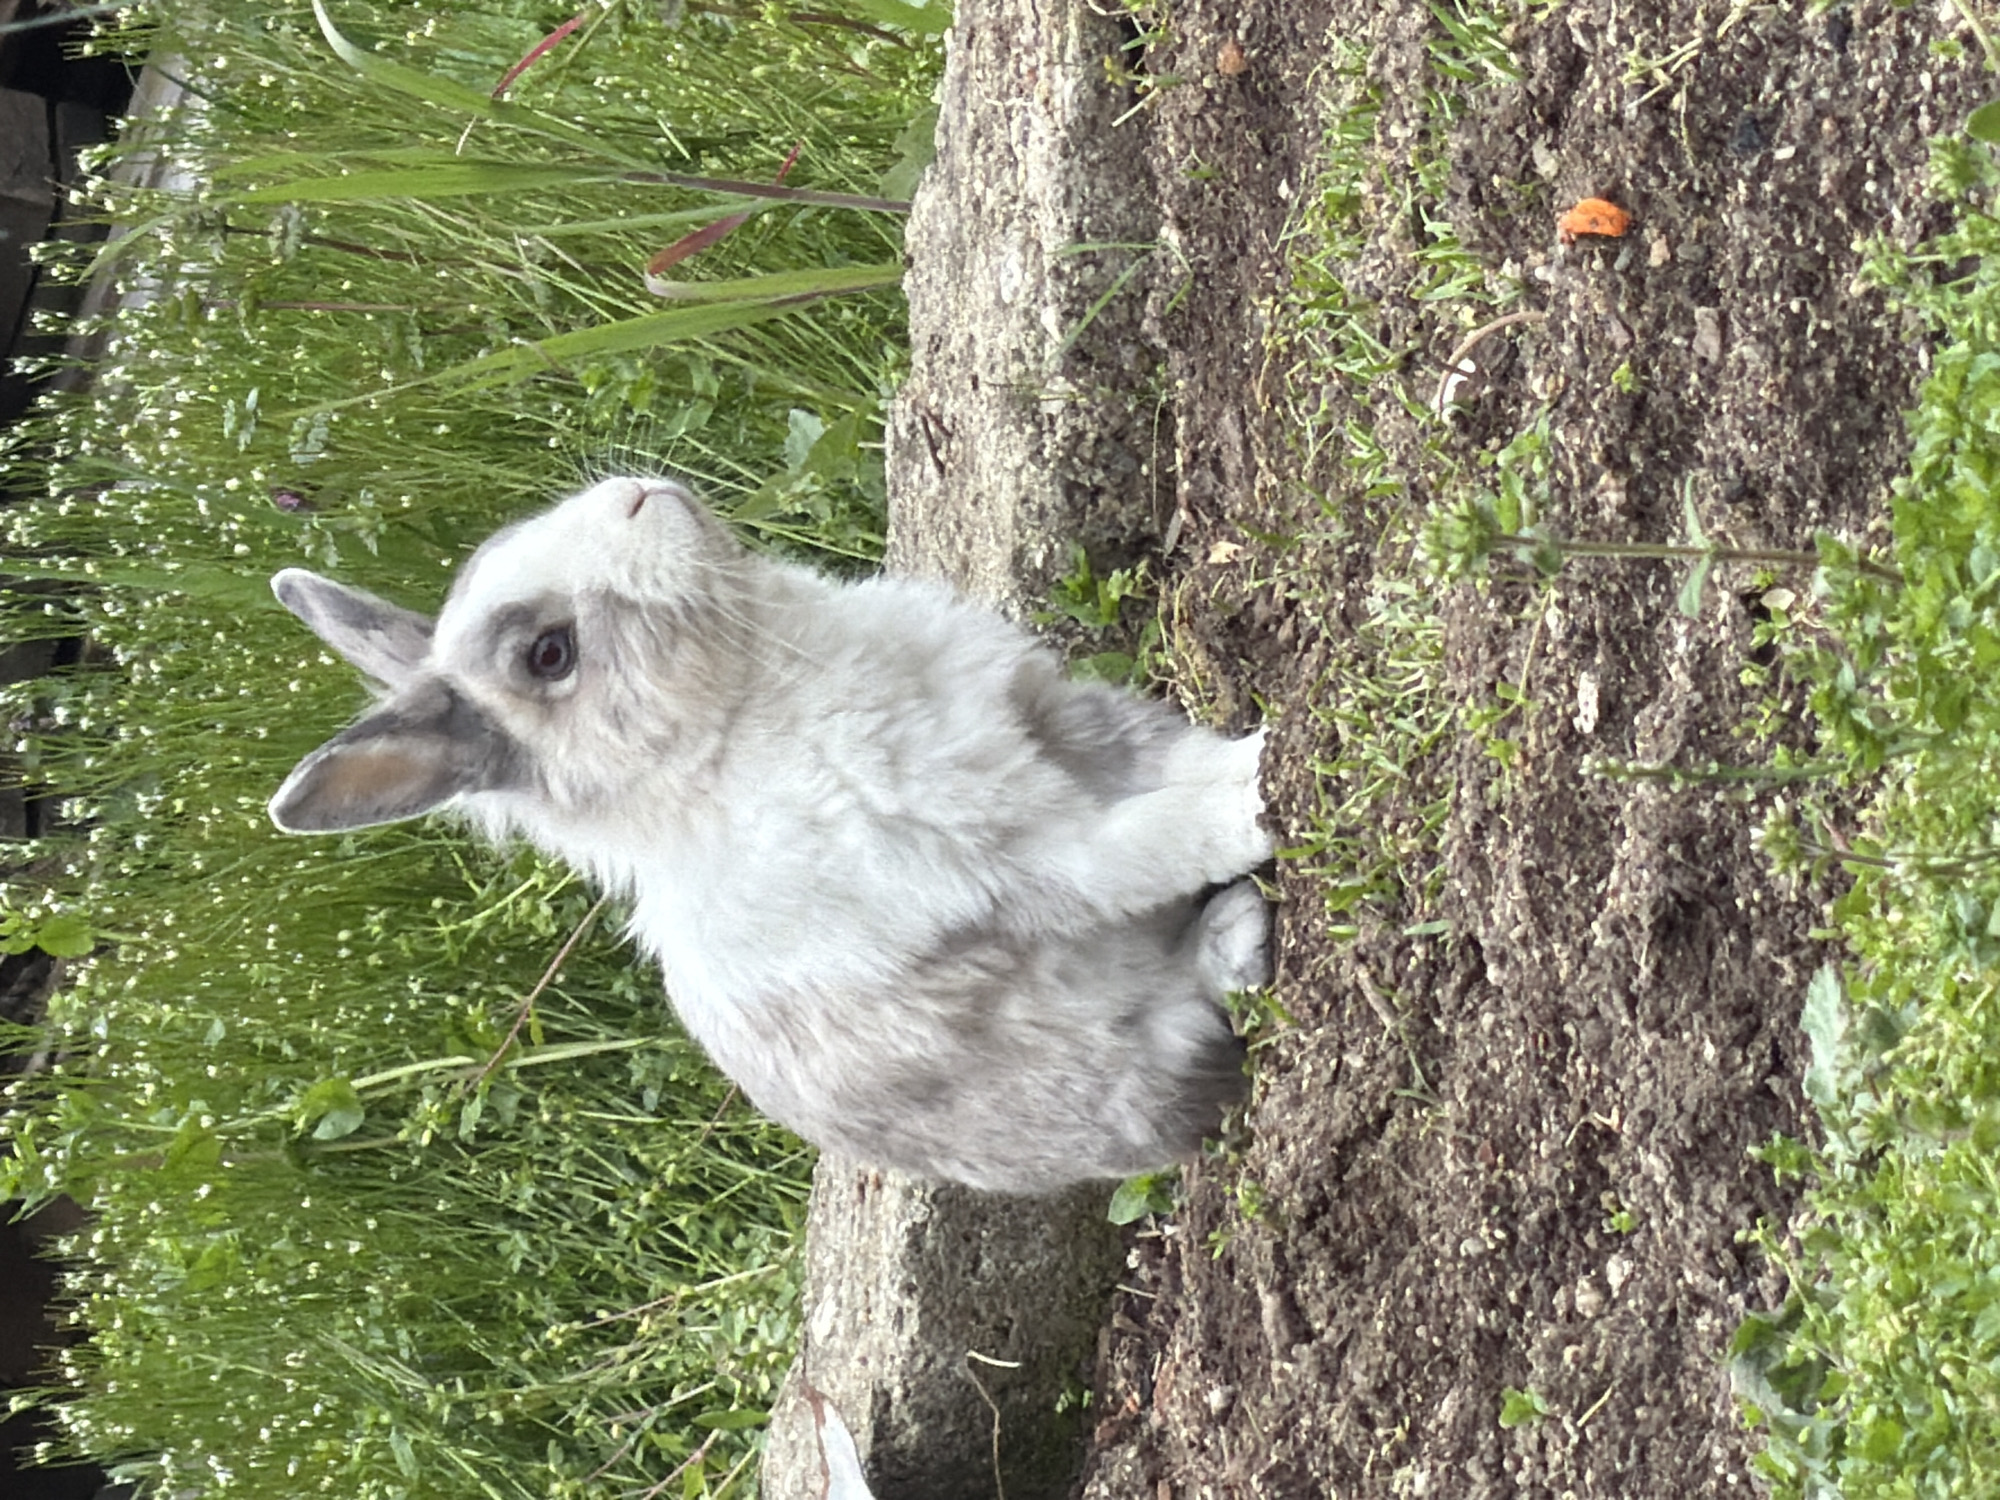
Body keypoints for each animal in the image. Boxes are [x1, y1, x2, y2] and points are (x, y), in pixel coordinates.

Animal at [267, 475, 1274, 1194]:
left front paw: (1247, 751)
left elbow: (1171, 760)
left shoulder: (1057, 725)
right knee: (1195, 1006)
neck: (739, 702)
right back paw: (1241, 937)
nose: (639, 494)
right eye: (549, 656)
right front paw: (1263, 788)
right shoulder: (1023, 854)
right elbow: (1150, 839)